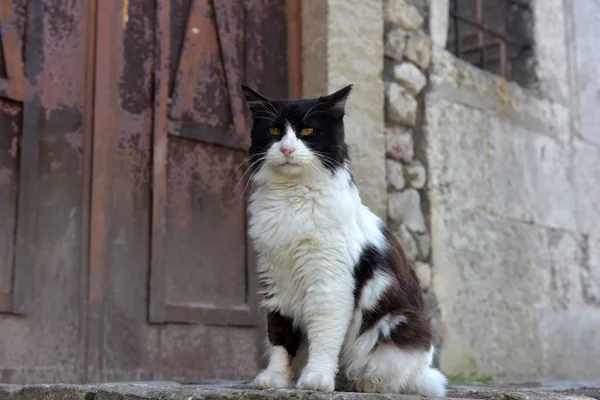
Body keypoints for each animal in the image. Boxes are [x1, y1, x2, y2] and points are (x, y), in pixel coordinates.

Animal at [239, 84, 446, 396]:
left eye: (307, 131)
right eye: (274, 131)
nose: (287, 149)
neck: (292, 198)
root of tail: (425, 369)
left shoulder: (329, 283)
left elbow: (324, 337)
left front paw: (317, 379)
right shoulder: (276, 283)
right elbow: (280, 337)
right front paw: (275, 378)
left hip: (396, 325)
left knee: (393, 379)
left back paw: (359, 383)